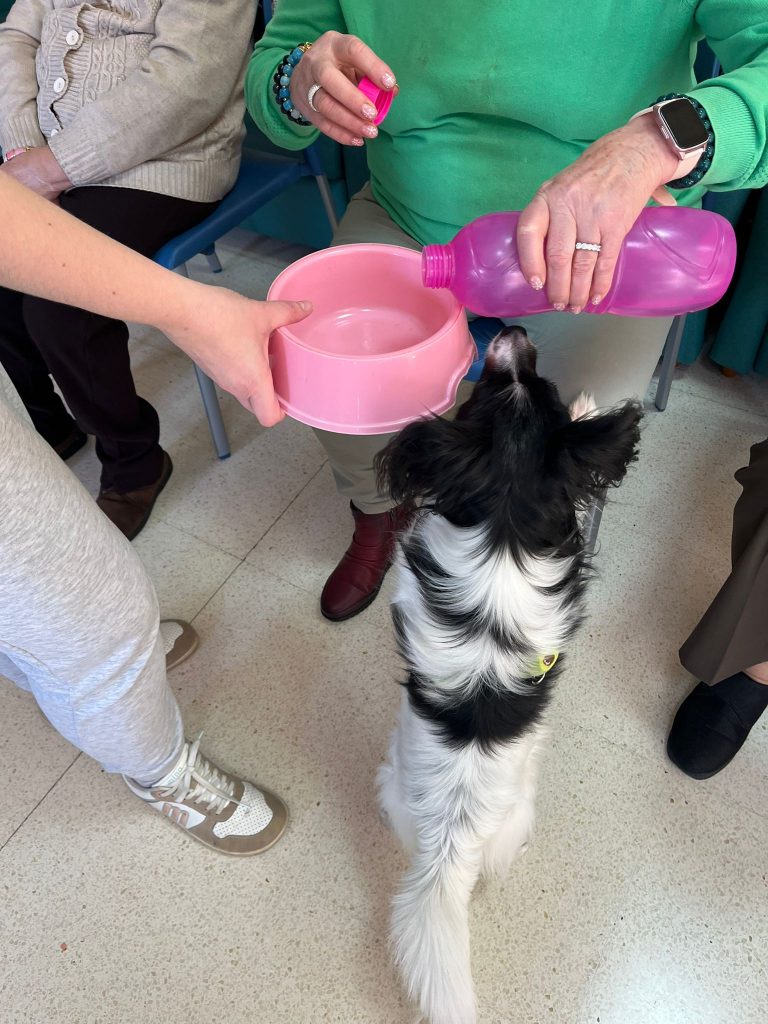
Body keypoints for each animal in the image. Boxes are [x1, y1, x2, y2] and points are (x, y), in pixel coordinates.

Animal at [374, 326, 643, 1024]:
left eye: (536, 386)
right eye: (490, 390)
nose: (516, 333)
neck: (505, 525)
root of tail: (448, 852)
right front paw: (587, 403)